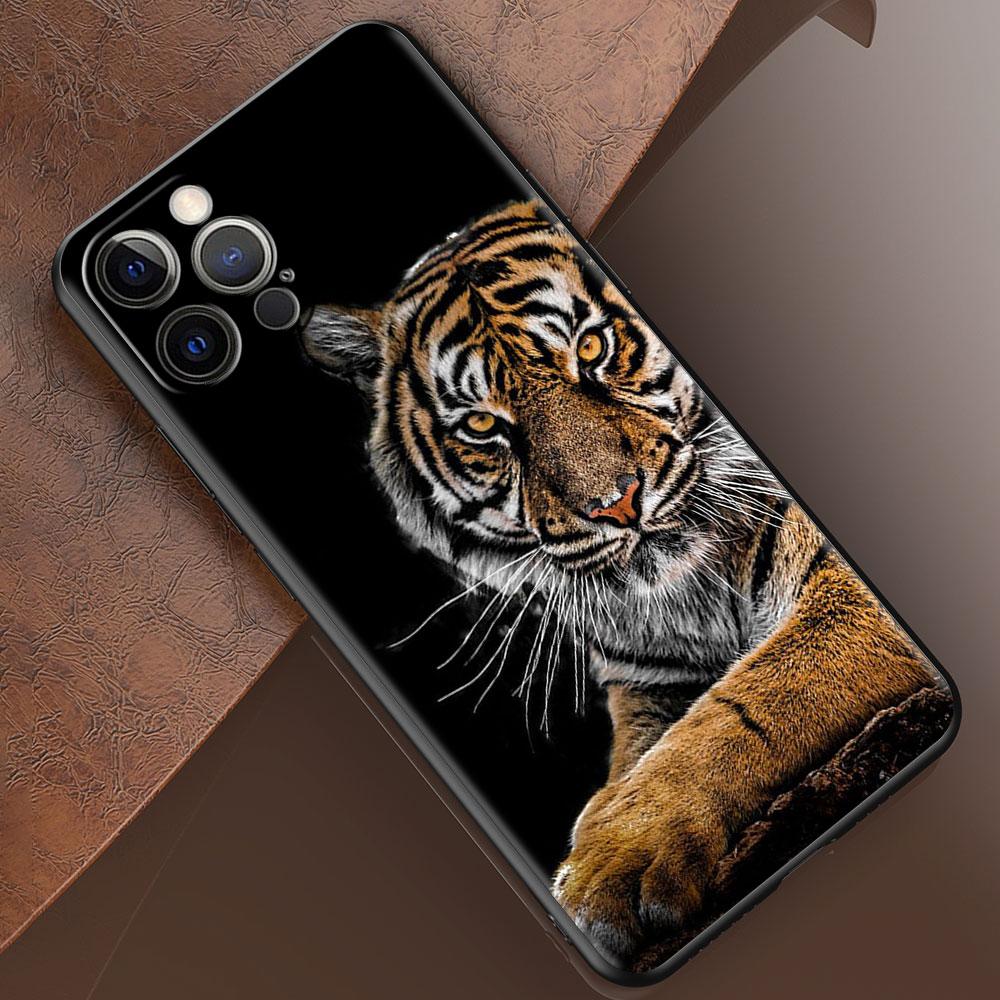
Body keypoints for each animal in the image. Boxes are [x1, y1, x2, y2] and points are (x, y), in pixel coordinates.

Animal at [300, 200, 941, 963]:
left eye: (592, 349)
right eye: (483, 425)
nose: (617, 504)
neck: (692, 592)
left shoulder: (840, 591)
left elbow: (744, 706)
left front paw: (619, 859)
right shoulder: (650, 681)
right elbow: (639, 751)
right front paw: (596, 839)